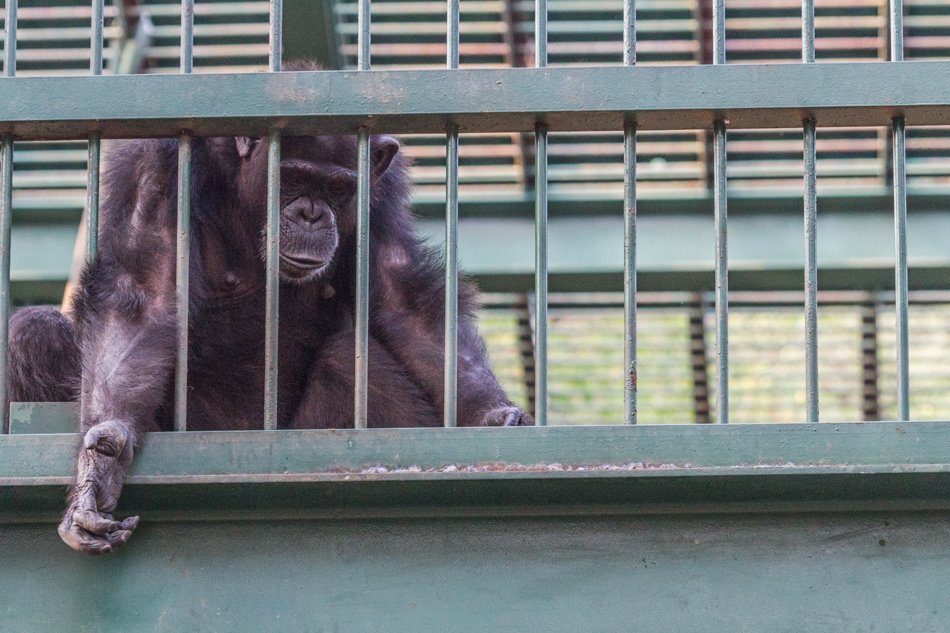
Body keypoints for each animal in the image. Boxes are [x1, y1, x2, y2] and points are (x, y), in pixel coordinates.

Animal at [5, 130, 528, 552]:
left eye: (338, 188)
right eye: (292, 177)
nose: (312, 213)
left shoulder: (381, 191)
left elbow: (404, 301)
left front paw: (495, 415)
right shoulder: (157, 166)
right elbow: (142, 294)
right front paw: (100, 465)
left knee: (347, 360)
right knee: (33, 333)